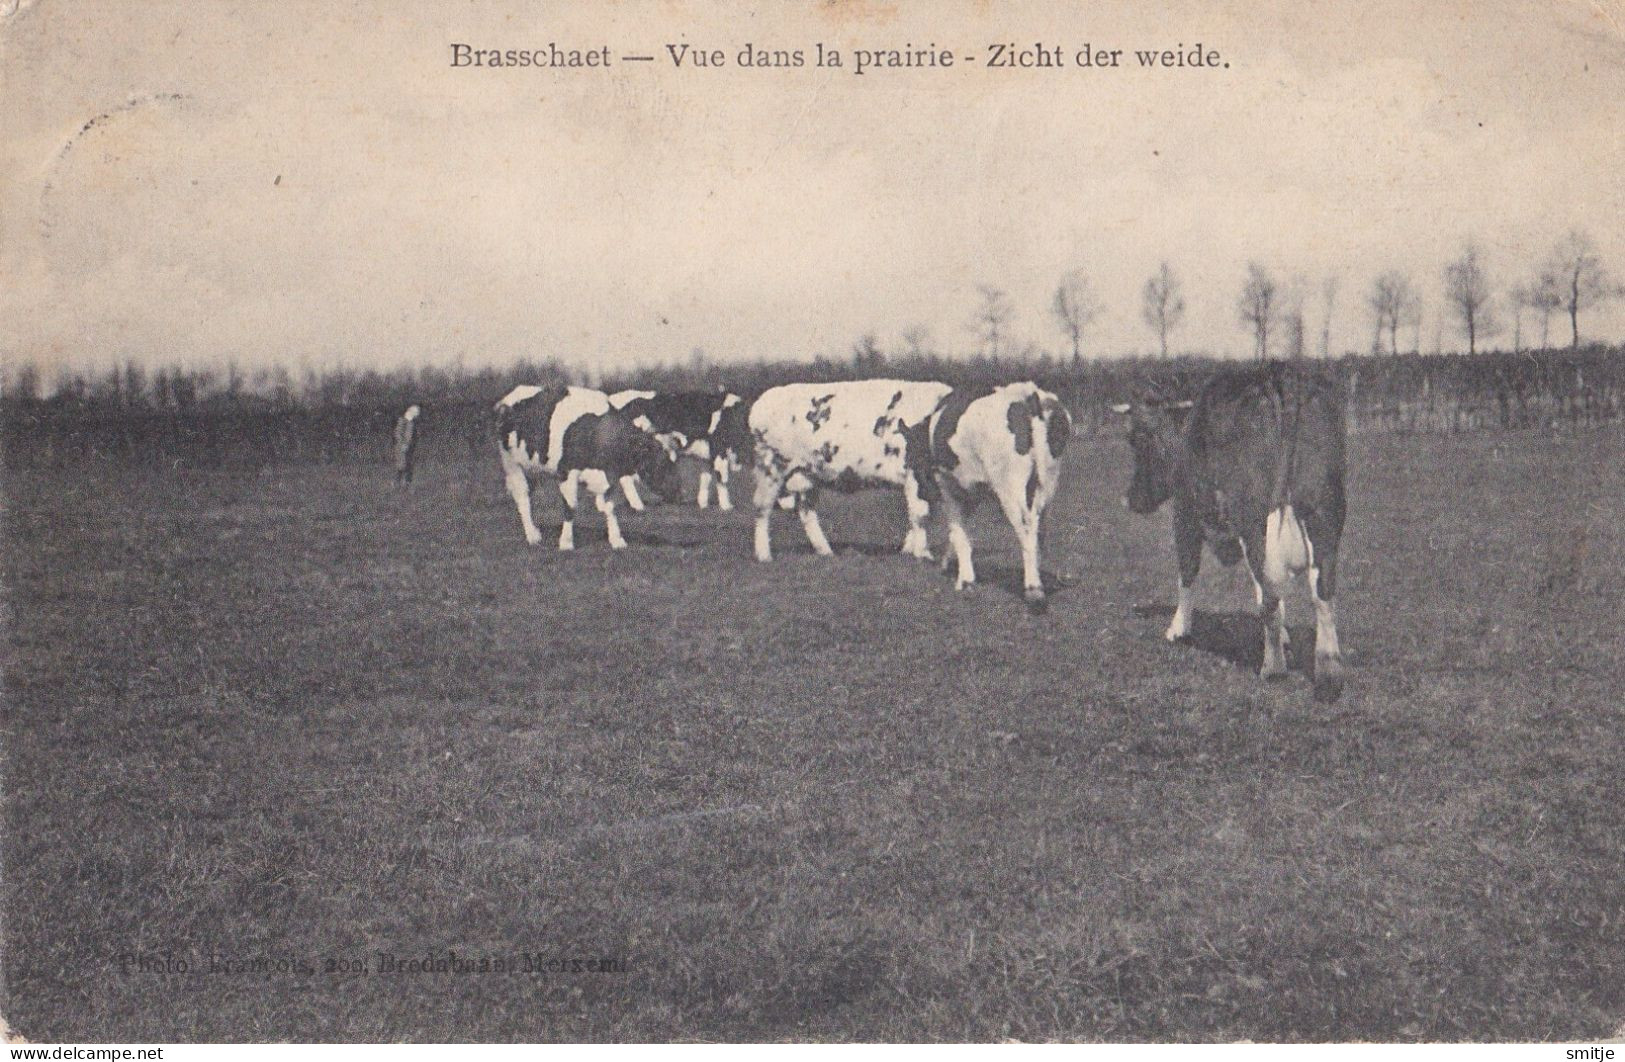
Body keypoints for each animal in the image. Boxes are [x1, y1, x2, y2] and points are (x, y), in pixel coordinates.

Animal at [490, 386, 676, 552]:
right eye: (658, 462)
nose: (677, 494)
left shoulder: (610, 476)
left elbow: (610, 507)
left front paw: (617, 540)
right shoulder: (568, 472)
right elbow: (570, 507)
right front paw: (566, 543)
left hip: (534, 467)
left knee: (528, 493)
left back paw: (535, 532)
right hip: (512, 463)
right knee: (522, 497)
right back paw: (532, 536)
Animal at [611, 391, 754, 513]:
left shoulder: (707, 457)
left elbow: (705, 478)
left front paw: (703, 504)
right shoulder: (719, 450)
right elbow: (722, 480)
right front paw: (726, 507)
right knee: (625, 475)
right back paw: (638, 506)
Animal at [747, 383, 949, 565]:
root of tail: (763, 400)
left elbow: (925, 514)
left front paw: (908, 550)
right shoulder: (915, 473)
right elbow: (921, 514)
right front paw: (921, 554)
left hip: (806, 473)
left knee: (806, 510)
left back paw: (825, 551)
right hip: (771, 466)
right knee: (762, 507)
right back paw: (764, 555)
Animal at [910, 386, 1072, 610]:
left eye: (911, 458)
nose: (921, 493)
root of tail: (1030, 396)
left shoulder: (947, 484)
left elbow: (958, 531)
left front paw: (966, 580)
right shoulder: (973, 490)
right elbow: (959, 530)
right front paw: (949, 564)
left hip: (1010, 486)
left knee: (1026, 530)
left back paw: (1033, 590)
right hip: (1047, 482)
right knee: (1040, 528)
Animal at [1111, 362, 1352, 704]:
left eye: (1137, 438)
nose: (1130, 499)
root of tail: (1282, 378)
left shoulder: (1185, 512)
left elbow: (1188, 571)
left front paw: (1178, 629)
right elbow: (1260, 588)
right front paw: (1284, 636)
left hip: (1256, 516)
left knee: (1273, 585)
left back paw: (1273, 668)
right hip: (1324, 508)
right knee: (1322, 590)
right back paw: (1329, 675)